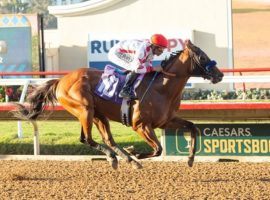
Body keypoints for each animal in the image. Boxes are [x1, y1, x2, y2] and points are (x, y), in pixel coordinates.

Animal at [13, 39, 224, 170]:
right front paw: (136, 152)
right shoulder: (140, 125)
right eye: (202, 57)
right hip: (85, 109)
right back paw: (122, 157)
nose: (220, 74)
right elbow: (158, 149)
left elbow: (193, 127)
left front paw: (190, 159)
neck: (162, 88)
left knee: (107, 140)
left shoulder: (166, 121)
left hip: (97, 114)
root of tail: (61, 80)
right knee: (87, 139)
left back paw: (125, 159)